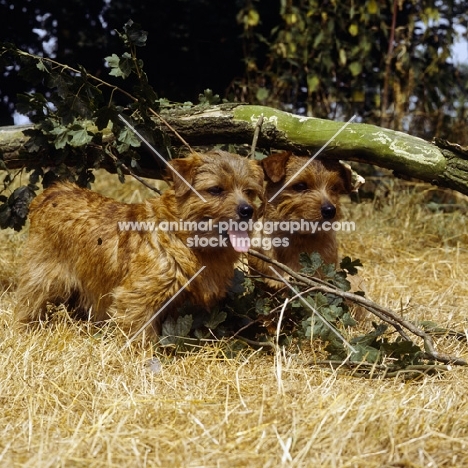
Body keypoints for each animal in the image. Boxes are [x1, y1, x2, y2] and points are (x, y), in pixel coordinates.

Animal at [15, 152, 264, 338]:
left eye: (249, 191)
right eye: (215, 190)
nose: (247, 210)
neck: (184, 238)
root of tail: (50, 192)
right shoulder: (136, 298)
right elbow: (140, 335)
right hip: (42, 277)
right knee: (29, 302)